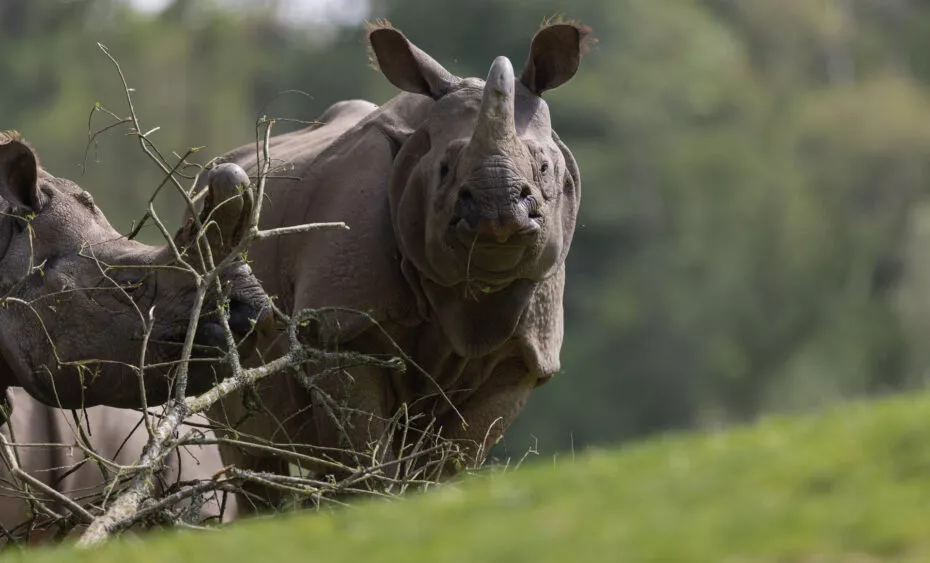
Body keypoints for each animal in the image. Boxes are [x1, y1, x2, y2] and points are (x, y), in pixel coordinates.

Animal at [211, 22, 586, 479]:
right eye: (444, 169)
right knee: (247, 447)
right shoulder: (340, 327)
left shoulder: (525, 354)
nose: (498, 211)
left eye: (545, 168)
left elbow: (452, 458)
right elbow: (364, 455)